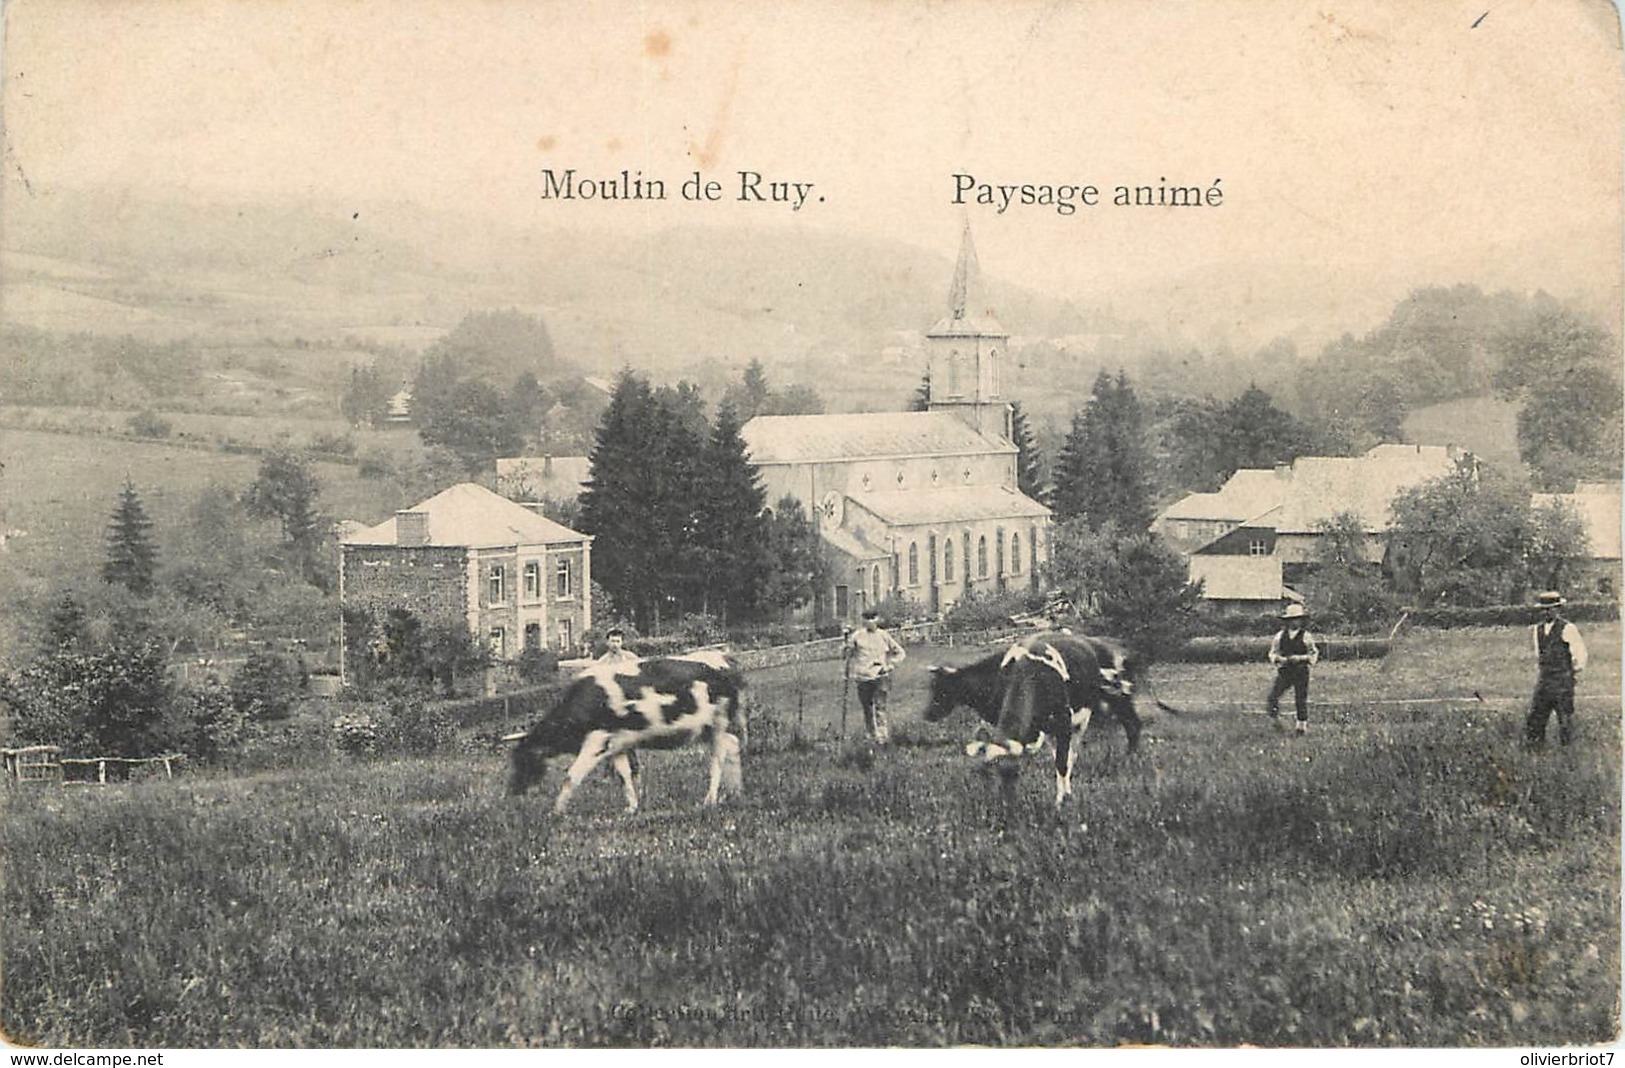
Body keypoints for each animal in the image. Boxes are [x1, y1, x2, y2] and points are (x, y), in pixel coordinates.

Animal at [503, 646, 744, 812]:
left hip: (721, 722)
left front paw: (556, 811)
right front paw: (631, 807)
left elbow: (572, 775)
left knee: (719, 758)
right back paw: (735, 791)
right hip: (712, 728)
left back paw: (710, 800)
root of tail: (724, 658)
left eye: (524, 760)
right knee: (732, 749)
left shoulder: (597, 741)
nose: (512, 791)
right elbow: (624, 775)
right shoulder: (616, 744)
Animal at [929, 627, 1144, 803]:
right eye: (988, 776)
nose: (928, 714)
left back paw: (1129, 760)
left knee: (1131, 726)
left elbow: (1062, 762)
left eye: (941, 690)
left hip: (1113, 698)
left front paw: (1061, 801)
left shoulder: (1063, 723)